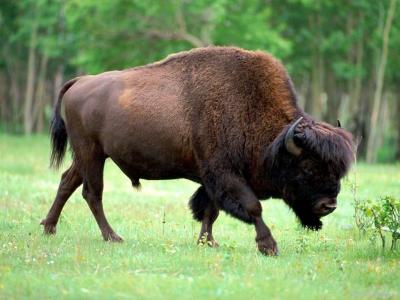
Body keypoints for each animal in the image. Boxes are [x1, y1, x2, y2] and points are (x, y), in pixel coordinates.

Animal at [40, 47, 354, 255]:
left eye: (337, 171)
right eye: (308, 168)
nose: (329, 205)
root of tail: (80, 81)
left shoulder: (212, 177)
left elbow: (210, 210)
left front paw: (208, 242)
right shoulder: (225, 174)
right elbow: (252, 206)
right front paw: (268, 246)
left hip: (89, 155)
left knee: (68, 182)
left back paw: (49, 227)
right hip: (91, 153)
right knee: (92, 193)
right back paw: (112, 237)